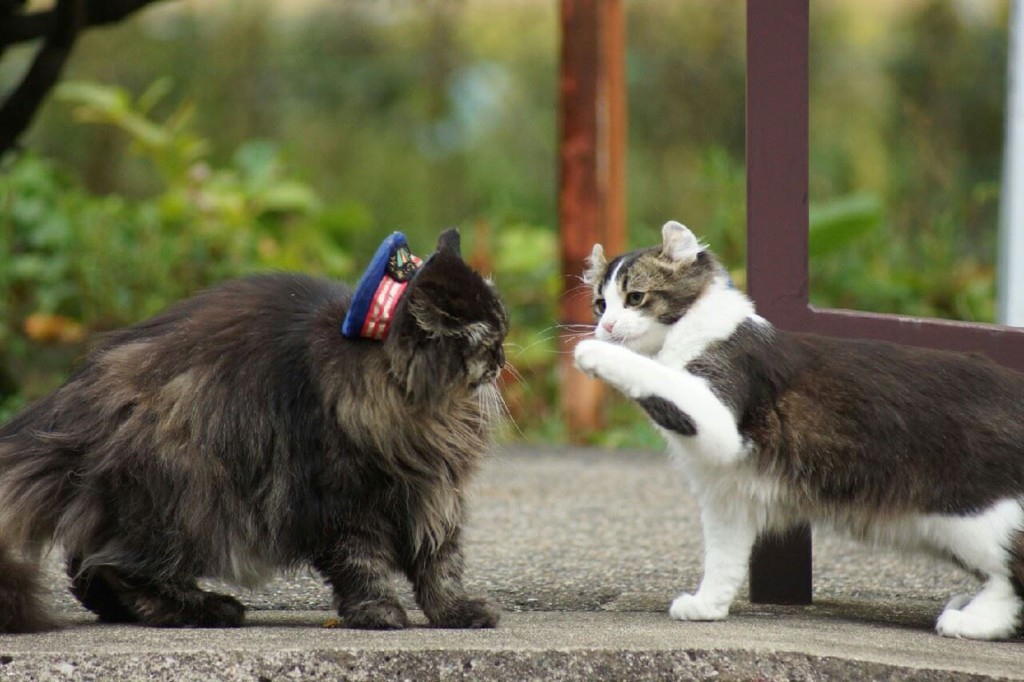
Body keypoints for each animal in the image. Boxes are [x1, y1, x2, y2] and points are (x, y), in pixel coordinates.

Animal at [0, 229, 507, 630]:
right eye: (490, 340)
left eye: (501, 331)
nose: (503, 360)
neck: (425, 413)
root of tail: (74, 401)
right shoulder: (342, 501)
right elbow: (364, 566)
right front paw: (378, 613)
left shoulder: (434, 494)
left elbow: (442, 565)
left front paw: (456, 612)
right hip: (185, 498)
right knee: (121, 565)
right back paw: (206, 608)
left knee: (86, 561)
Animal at [577, 222, 1024, 638]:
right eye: (600, 304)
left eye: (636, 297)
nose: (607, 327)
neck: (689, 333)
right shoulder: (725, 490)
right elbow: (723, 560)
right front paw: (708, 607)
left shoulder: (718, 419)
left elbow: (651, 374)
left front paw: (592, 353)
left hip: (975, 519)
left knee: (1011, 582)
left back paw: (971, 621)